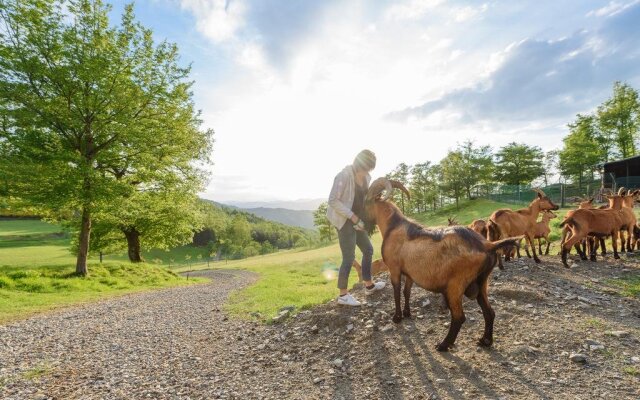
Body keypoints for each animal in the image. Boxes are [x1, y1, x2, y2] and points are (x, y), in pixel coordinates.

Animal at [362, 177, 524, 350]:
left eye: (365, 203)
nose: (361, 221)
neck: (393, 227)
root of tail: (488, 245)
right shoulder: (410, 273)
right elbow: (407, 292)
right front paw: (407, 313)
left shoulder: (394, 269)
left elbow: (397, 292)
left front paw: (397, 317)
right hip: (482, 283)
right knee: (489, 312)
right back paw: (485, 341)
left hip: (455, 286)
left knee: (459, 317)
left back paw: (443, 344)